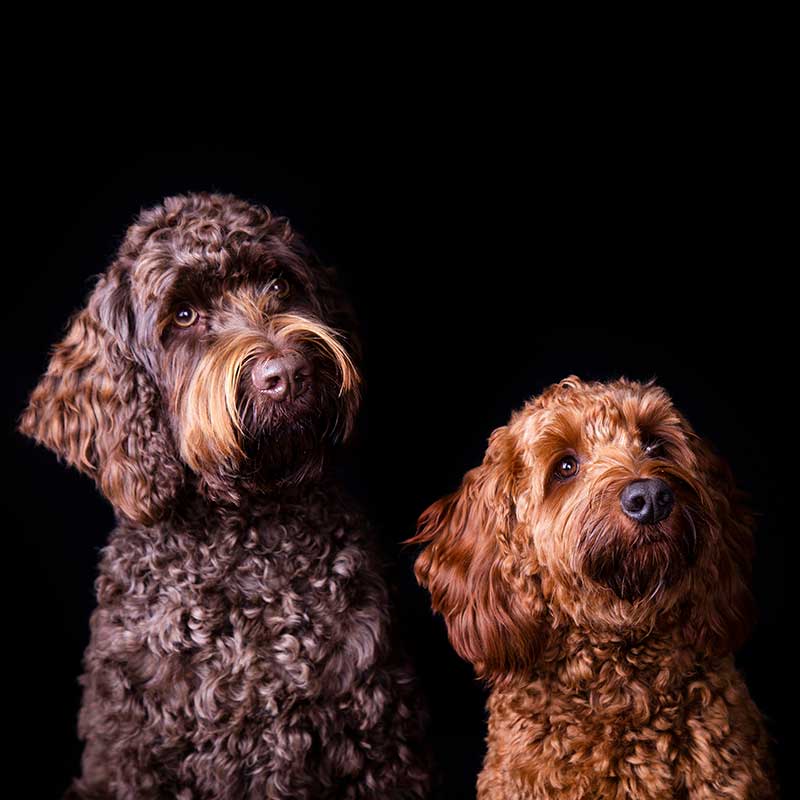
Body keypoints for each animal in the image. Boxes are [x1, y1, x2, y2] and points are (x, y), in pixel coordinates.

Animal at [20, 194, 432, 800]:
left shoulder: (377, 738)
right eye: (184, 316)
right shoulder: (132, 754)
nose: (287, 372)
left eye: (280, 284)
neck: (246, 540)